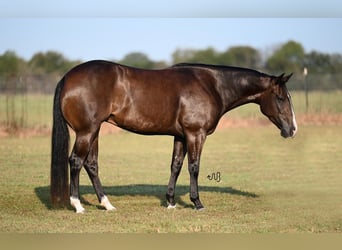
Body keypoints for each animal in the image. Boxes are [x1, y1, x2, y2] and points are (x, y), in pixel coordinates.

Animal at [50, 60, 296, 213]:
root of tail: (67, 77)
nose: (292, 129)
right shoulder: (196, 134)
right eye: (281, 98)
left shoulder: (181, 136)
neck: (211, 85)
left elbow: (175, 166)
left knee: (91, 164)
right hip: (87, 131)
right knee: (76, 161)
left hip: (95, 131)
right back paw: (78, 205)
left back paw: (107, 204)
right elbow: (194, 167)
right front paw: (197, 203)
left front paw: (170, 202)